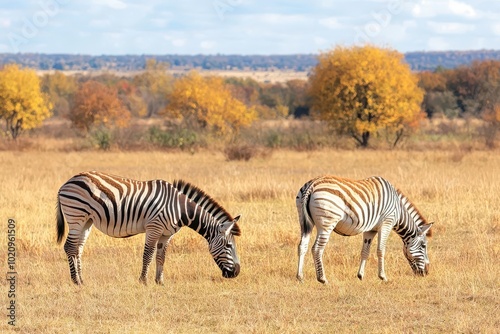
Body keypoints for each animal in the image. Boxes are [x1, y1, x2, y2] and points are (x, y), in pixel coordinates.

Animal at [55, 172, 241, 284]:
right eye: (228, 246)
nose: (236, 272)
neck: (180, 209)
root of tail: (67, 182)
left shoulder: (166, 235)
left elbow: (161, 257)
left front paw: (160, 281)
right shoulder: (154, 228)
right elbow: (148, 255)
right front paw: (143, 281)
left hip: (86, 221)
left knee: (78, 248)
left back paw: (81, 279)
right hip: (76, 216)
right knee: (69, 247)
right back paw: (75, 281)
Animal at [294, 175, 432, 284]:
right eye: (424, 246)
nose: (426, 273)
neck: (398, 210)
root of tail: (312, 185)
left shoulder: (370, 230)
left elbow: (365, 251)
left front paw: (360, 275)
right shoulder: (386, 223)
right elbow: (381, 250)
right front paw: (383, 277)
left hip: (304, 222)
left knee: (302, 246)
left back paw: (300, 277)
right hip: (327, 222)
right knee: (317, 249)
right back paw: (322, 279)